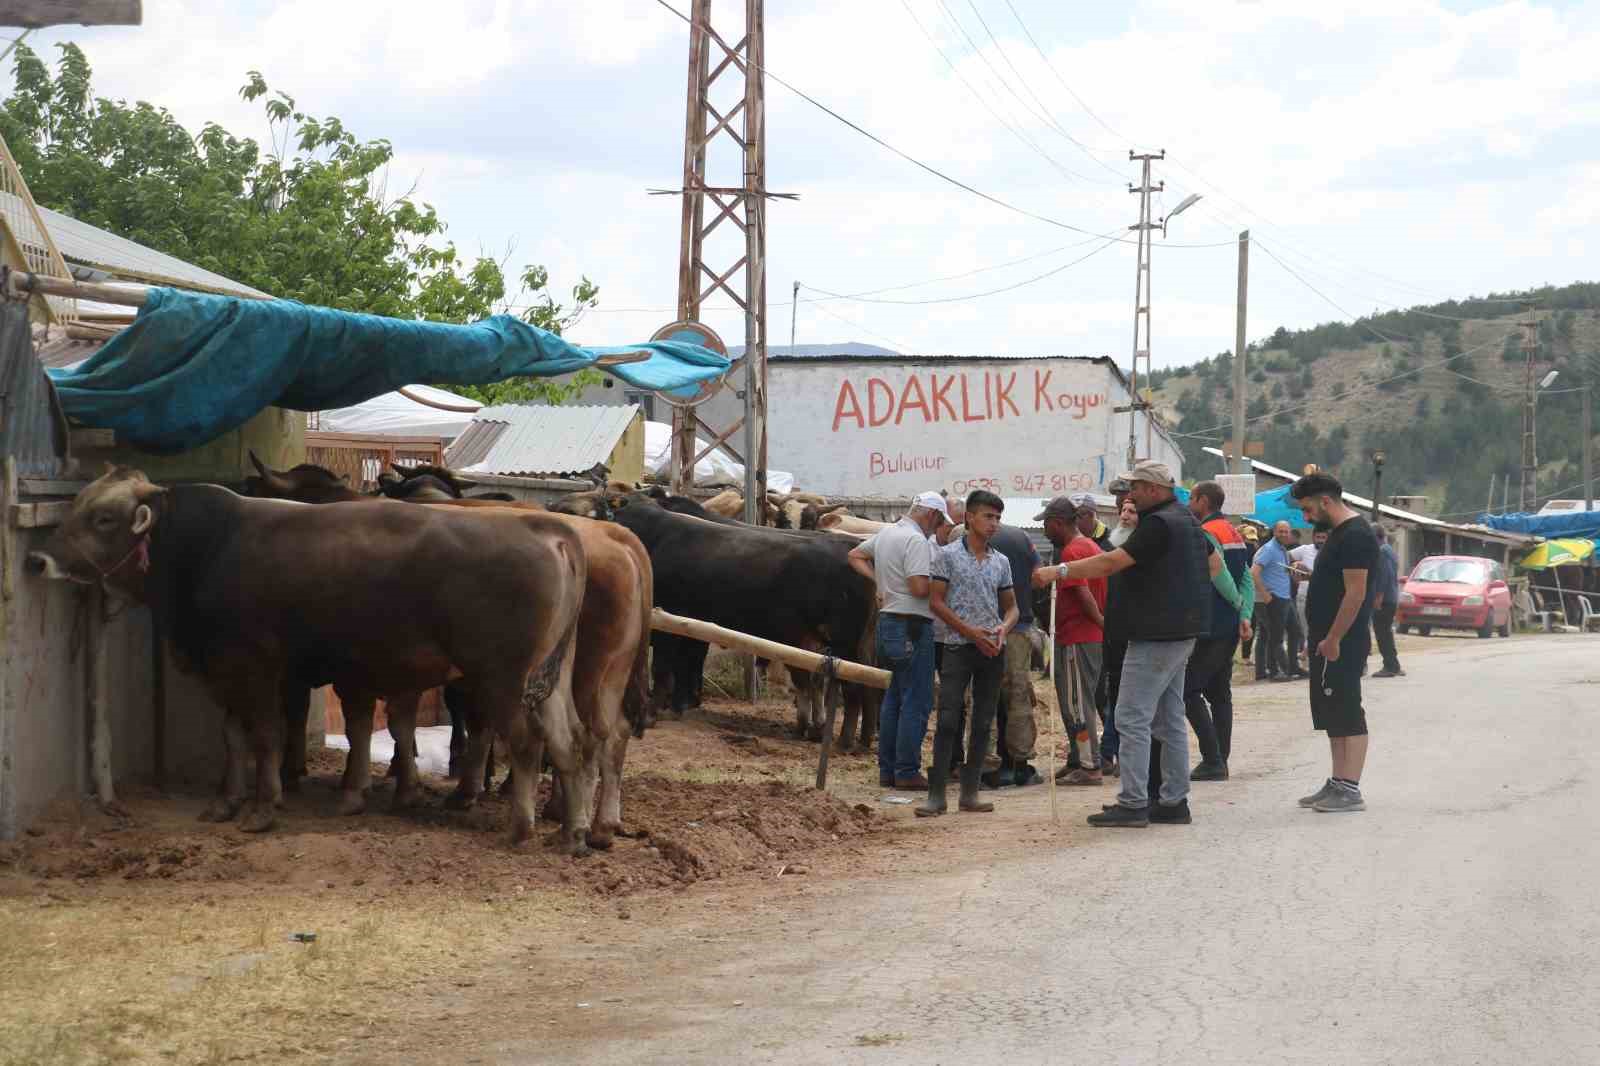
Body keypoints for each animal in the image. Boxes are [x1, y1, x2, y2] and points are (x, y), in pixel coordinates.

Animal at [29, 464, 588, 845]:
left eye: (103, 517)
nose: (38, 558)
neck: (208, 546)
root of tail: (547, 530)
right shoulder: (226, 673)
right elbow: (234, 737)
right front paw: (226, 801)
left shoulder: (257, 668)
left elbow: (265, 736)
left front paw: (263, 807)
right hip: (551, 681)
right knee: (569, 742)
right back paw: (573, 832)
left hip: (501, 678)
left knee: (526, 742)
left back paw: (521, 827)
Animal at [249, 457, 649, 845]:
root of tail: (616, 537)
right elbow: (403, 720)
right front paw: (405, 784)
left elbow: (353, 719)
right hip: (600, 672)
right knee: (604, 733)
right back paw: (592, 825)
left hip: (560, 673)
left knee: (569, 736)